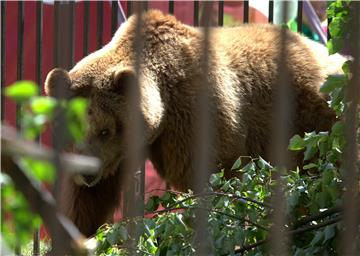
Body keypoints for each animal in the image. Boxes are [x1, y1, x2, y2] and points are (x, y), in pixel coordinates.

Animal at [44, 11, 344, 237]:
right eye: (72, 130)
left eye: (105, 130)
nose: (87, 173)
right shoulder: (119, 154)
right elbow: (86, 203)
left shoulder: (196, 118)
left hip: (311, 120)